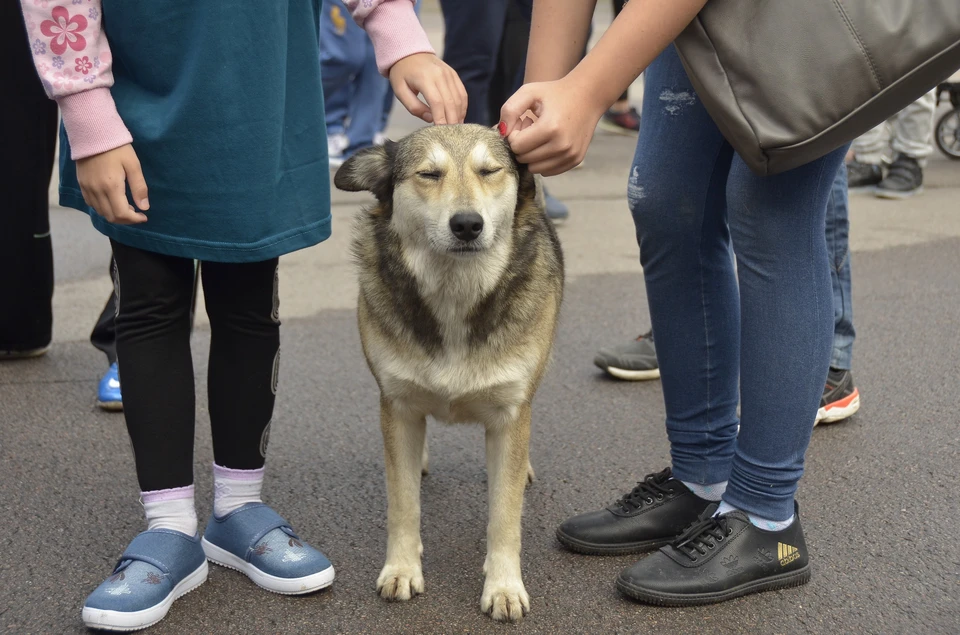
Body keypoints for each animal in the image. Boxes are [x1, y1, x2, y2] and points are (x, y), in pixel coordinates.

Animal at [336, 123, 564, 620]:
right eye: (428, 174)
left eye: (490, 171)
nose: (467, 224)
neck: (455, 292)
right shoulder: (397, 406)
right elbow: (402, 504)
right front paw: (401, 569)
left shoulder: (511, 415)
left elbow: (505, 514)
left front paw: (503, 586)